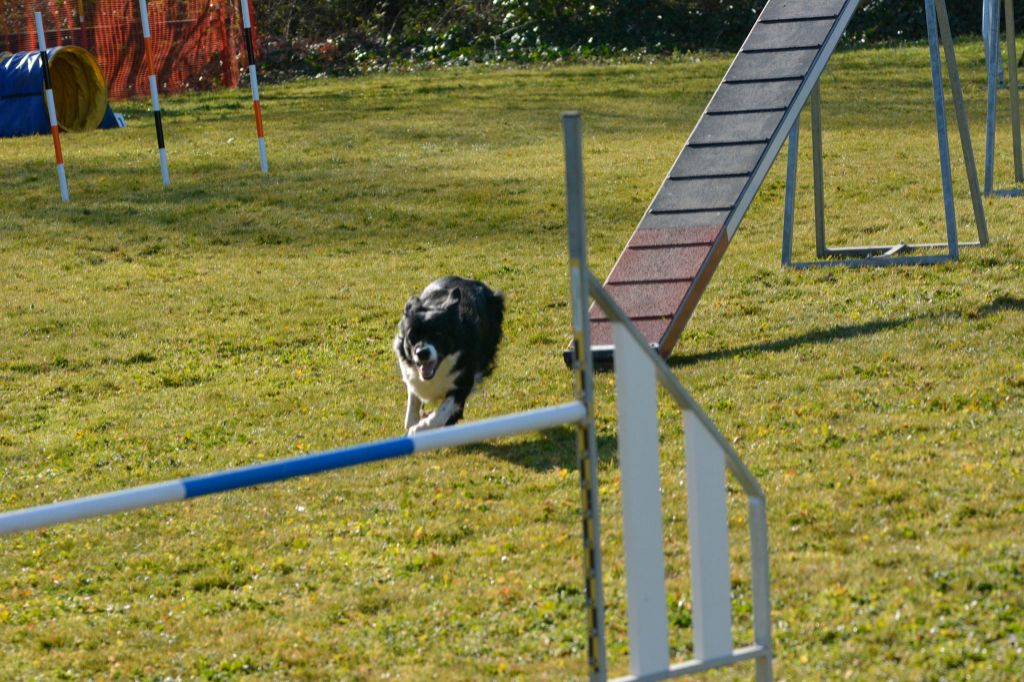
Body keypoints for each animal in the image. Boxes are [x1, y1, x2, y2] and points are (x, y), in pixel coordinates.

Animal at [391, 274, 503, 430]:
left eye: (438, 335)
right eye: (412, 336)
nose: (422, 353)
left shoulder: (463, 381)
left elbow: (441, 414)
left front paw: (421, 426)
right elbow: (411, 411)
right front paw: (415, 421)